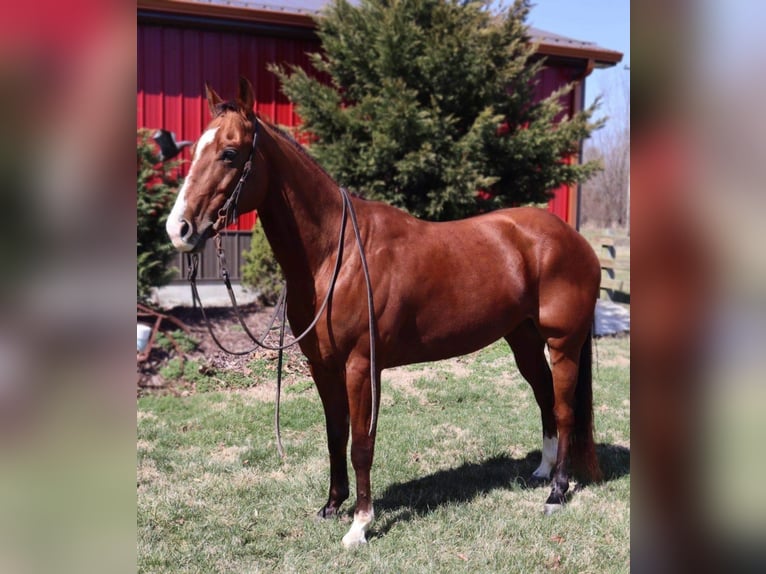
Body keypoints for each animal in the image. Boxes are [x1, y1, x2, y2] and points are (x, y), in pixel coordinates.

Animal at [165, 77, 604, 548]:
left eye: (229, 152)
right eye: (195, 150)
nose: (179, 228)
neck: (334, 256)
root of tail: (574, 239)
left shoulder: (361, 367)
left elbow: (361, 444)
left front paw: (360, 524)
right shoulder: (323, 366)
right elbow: (335, 435)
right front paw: (331, 506)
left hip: (563, 344)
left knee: (564, 410)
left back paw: (557, 492)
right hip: (523, 340)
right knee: (544, 400)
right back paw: (542, 471)